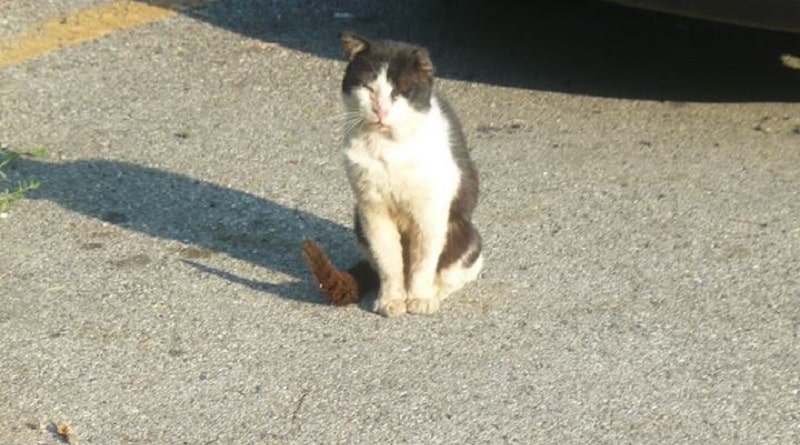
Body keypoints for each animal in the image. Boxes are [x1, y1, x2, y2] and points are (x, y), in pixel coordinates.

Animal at [302, 32, 482, 316]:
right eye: (368, 88)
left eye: (399, 92)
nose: (380, 110)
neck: (387, 149)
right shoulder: (372, 210)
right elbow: (389, 262)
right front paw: (391, 300)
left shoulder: (429, 212)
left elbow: (423, 262)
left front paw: (420, 298)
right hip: (359, 221)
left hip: (463, 235)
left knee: (455, 271)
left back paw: (433, 293)